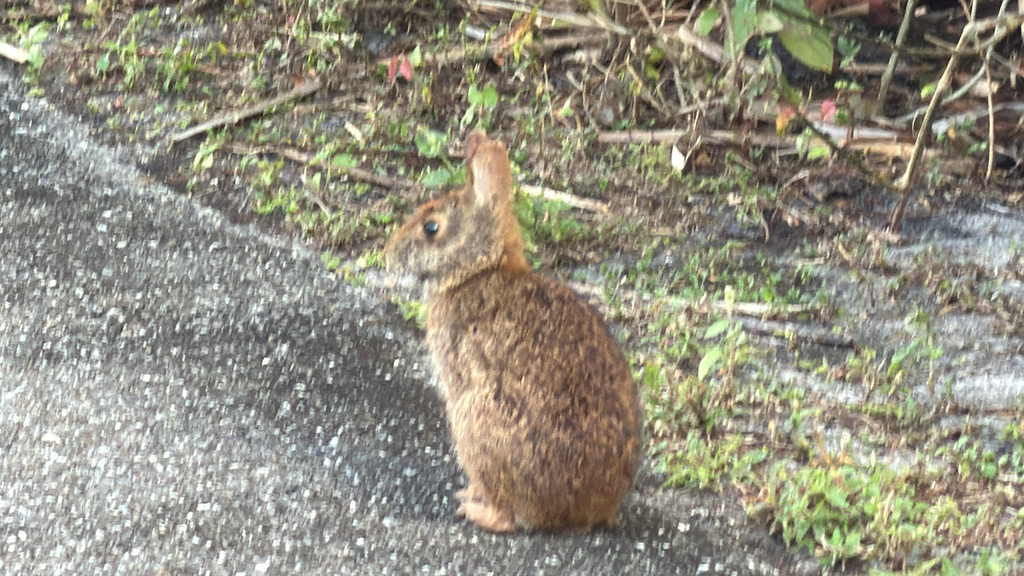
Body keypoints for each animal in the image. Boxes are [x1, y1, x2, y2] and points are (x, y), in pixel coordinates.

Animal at [384, 130, 641, 534]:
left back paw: (474, 509)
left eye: (431, 228)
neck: (480, 268)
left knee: (507, 516)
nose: (387, 255)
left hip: (475, 422)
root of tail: (587, 509)